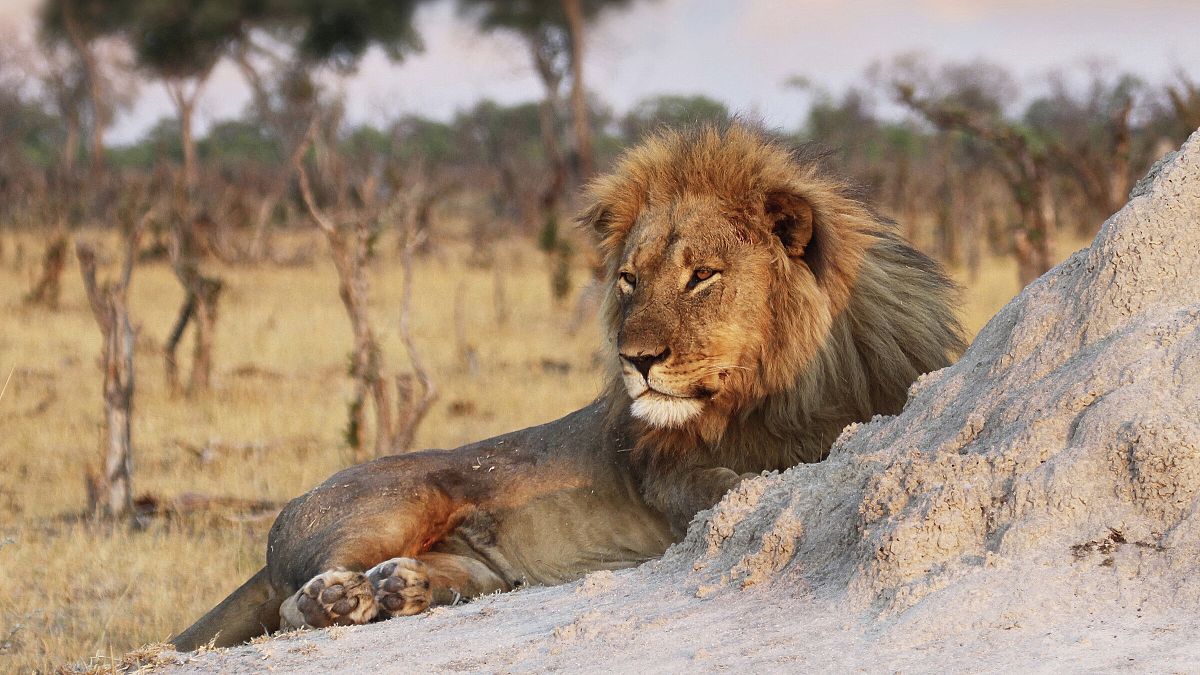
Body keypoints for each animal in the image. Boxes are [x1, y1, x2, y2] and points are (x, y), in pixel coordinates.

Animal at [172, 124, 964, 650]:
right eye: (630, 278)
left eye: (702, 275)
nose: (635, 358)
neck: (777, 390)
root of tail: (282, 517)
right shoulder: (660, 471)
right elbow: (739, 487)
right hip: (391, 502)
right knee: (288, 607)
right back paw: (343, 597)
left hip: (475, 562)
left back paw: (405, 588)